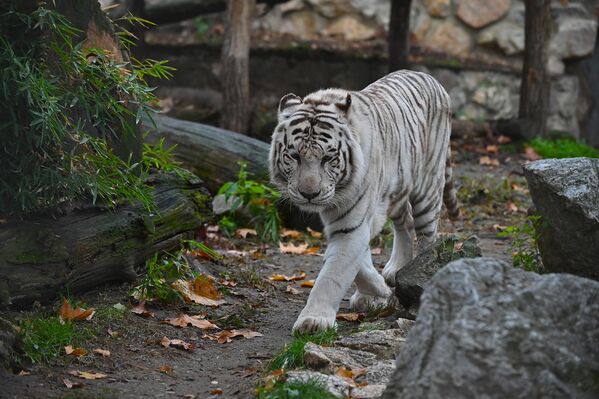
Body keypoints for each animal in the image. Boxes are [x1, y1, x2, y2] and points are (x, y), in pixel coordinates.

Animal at [268, 70, 460, 332]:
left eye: (328, 158)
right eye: (294, 156)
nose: (309, 193)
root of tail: (429, 77)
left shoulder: (352, 224)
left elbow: (334, 273)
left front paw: (314, 320)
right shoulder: (353, 222)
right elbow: (358, 263)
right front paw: (376, 294)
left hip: (428, 187)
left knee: (428, 236)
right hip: (397, 191)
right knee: (405, 223)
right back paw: (396, 268)